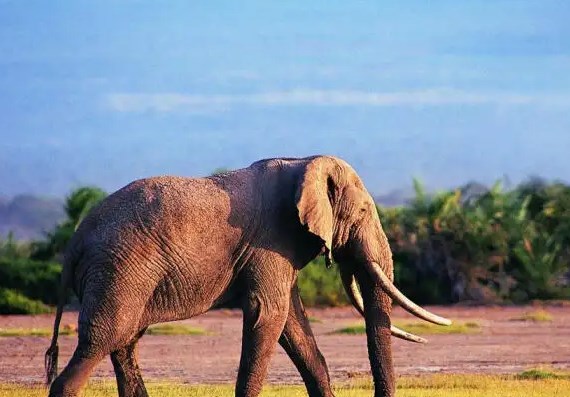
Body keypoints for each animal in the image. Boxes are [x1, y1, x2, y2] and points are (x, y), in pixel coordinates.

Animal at [44, 155, 448, 396]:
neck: (304, 161)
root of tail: (74, 243)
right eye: (363, 211)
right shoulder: (270, 241)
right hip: (118, 271)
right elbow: (269, 314)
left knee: (124, 343)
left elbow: (292, 323)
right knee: (103, 339)